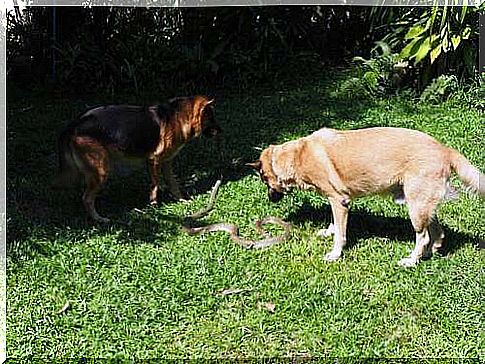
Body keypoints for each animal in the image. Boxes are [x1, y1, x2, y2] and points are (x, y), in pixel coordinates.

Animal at [54, 94, 220, 222]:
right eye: (211, 118)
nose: (221, 131)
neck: (178, 117)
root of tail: (74, 125)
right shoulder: (154, 161)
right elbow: (155, 185)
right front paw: (154, 205)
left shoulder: (167, 163)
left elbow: (173, 184)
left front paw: (181, 200)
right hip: (101, 170)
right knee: (87, 198)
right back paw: (99, 219)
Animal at [250, 128, 484, 268]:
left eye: (263, 179)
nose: (270, 200)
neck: (297, 155)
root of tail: (445, 149)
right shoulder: (336, 201)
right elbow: (334, 223)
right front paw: (328, 231)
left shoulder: (339, 201)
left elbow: (340, 234)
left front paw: (335, 253)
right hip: (422, 203)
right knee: (437, 231)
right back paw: (428, 254)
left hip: (415, 207)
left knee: (423, 236)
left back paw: (411, 260)